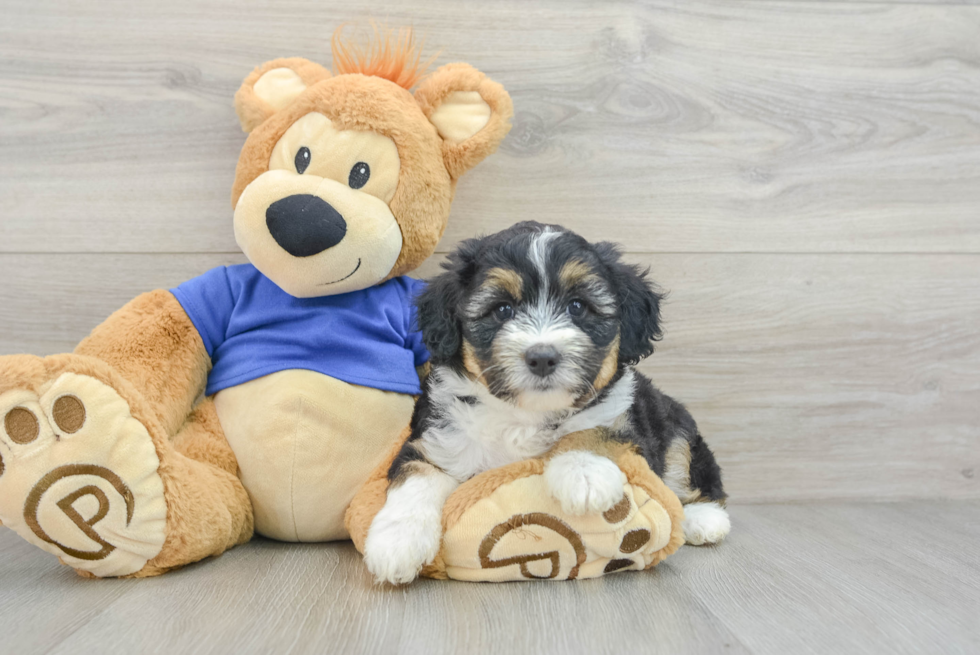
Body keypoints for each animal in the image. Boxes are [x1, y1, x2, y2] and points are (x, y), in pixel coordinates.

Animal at [362, 222, 728, 584]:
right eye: (502, 309)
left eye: (577, 306)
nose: (542, 357)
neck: (525, 414)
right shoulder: (437, 439)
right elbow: (418, 474)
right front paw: (397, 543)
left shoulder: (626, 421)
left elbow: (594, 430)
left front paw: (584, 471)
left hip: (676, 424)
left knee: (687, 471)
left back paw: (703, 518)